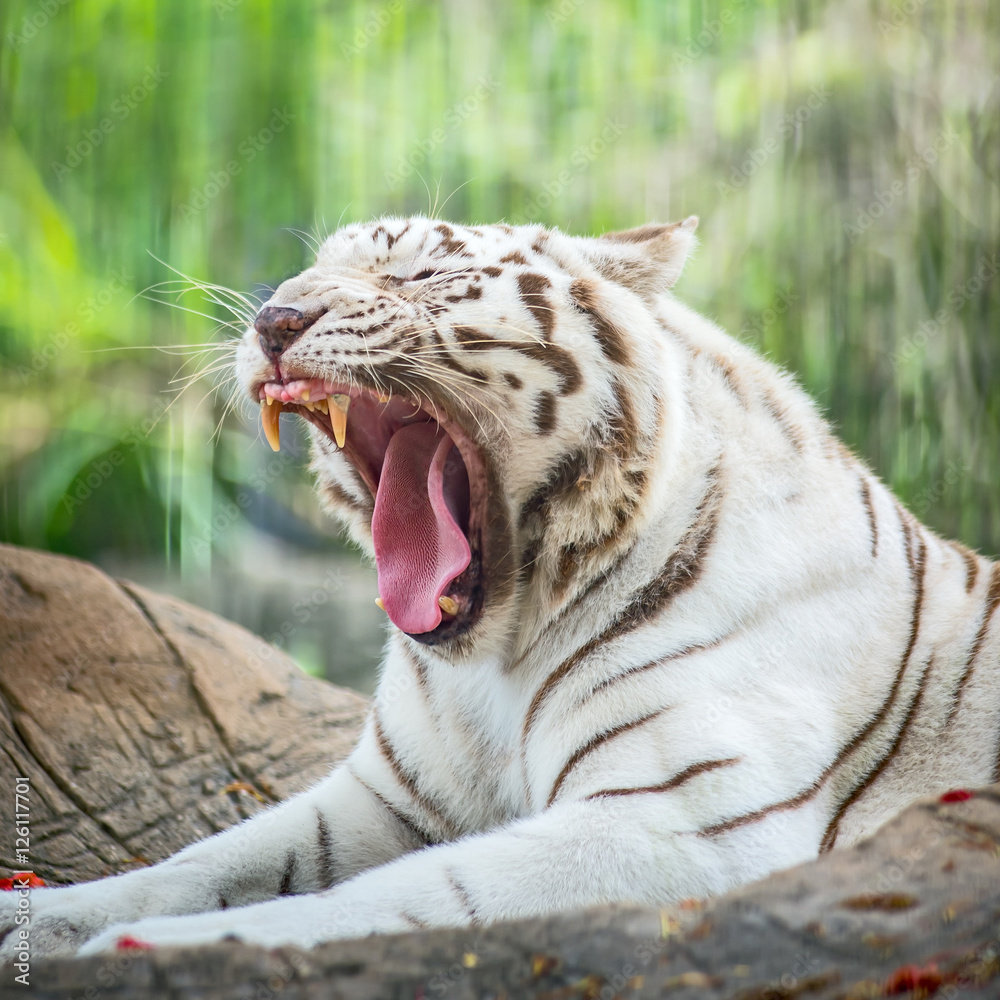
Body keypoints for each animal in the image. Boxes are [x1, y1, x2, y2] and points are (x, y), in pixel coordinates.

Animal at [2, 215, 998, 958]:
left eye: (417, 274)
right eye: (301, 272)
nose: (273, 320)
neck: (498, 655)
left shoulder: (680, 823)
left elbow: (393, 899)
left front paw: (161, 950)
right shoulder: (387, 796)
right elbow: (201, 861)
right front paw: (43, 918)